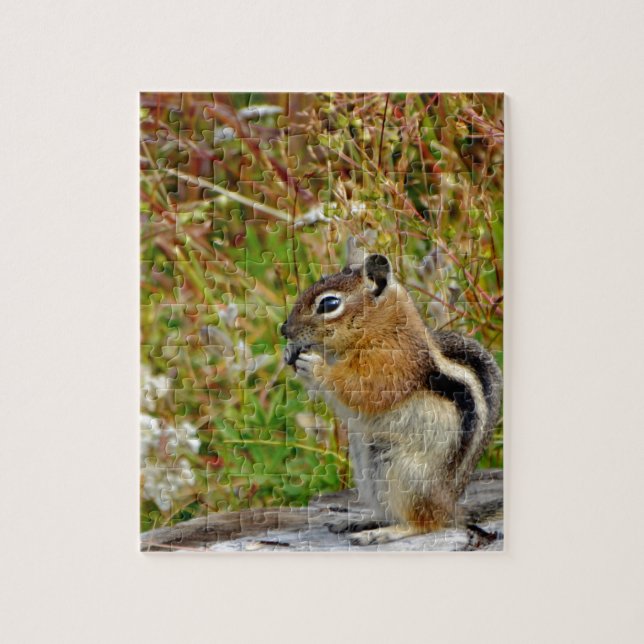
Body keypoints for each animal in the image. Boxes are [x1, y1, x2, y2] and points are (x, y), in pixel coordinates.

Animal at [281, 249, 502, 545]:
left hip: (401, 471)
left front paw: (316, 367)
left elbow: (361, 388)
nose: (284, 329)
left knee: (424, 524)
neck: (383, 326)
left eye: (329, 304)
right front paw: (290, 352)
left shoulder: (390, 363)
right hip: (367, 469)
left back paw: (384, 532)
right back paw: (361, 522)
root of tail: (447, 508)